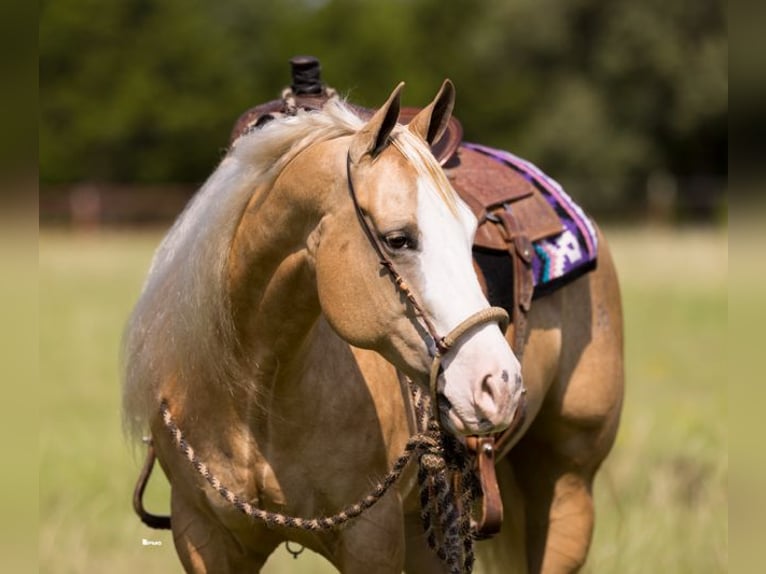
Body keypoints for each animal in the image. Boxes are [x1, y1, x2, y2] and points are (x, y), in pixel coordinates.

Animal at [123, 80, 623, 573]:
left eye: (470, 234)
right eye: (398, 239)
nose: (499, 384)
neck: (251, 393)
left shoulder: (371, 537)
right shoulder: (204, 536)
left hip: (567, 486)